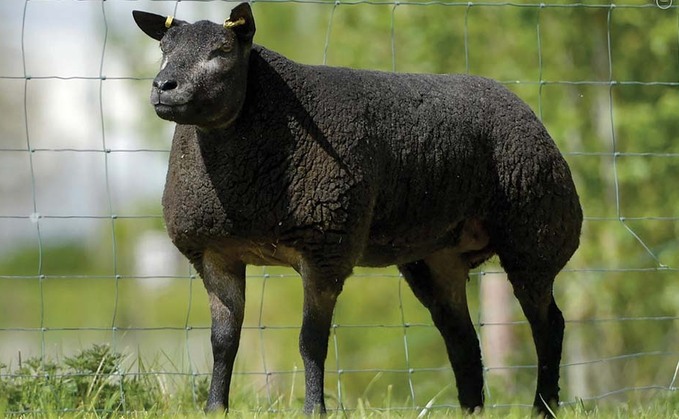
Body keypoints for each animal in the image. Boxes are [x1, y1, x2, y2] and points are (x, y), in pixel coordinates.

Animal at [133, 3, 584, 416]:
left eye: (223, 50)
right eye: (163, 50)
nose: (163, 86)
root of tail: (519, 102)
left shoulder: (325, 248)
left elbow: (311, 341)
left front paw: (314, 409)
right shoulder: (215, 253)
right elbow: (224, 342)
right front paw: (215, 408)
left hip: (535, 233)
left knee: (548, 325)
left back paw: (544, 406)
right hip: (438, 256)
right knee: (462, 337)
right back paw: (472, 409)